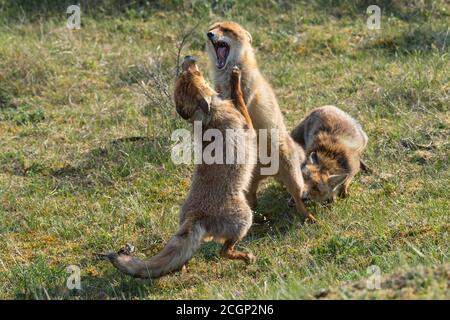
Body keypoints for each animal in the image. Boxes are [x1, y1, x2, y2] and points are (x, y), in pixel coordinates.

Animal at [99, 57, 258, 278]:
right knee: (224, 251)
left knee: (184, 259)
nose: (190, 58)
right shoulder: (247, 124)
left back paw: (183, 269)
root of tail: (194, 215)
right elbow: (239, 96)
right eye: (195, 74)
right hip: (245, 218)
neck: (207, 117)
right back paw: (246, 257)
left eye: (185, 74)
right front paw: (235, 77)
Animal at [206, 20, 314, 222]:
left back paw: (308, 217)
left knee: (299, 198)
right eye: (212, 28)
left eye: (226, 30)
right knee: (253, 202)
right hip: (247, 184)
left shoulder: (245, 103)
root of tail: (267, 172)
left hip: (294, 179)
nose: (209, 34)